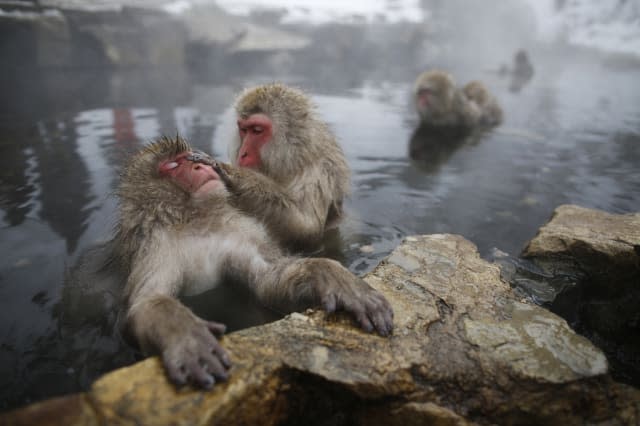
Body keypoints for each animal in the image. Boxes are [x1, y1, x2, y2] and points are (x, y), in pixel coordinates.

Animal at [117, 136, 392, 390]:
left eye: (190, 157)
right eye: (173, 165)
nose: (199, 166)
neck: (196, 220)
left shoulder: (237, 234)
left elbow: (266, 280)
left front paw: (332, 277)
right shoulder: (155, 249)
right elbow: (148, 300)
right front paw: (185, 334)